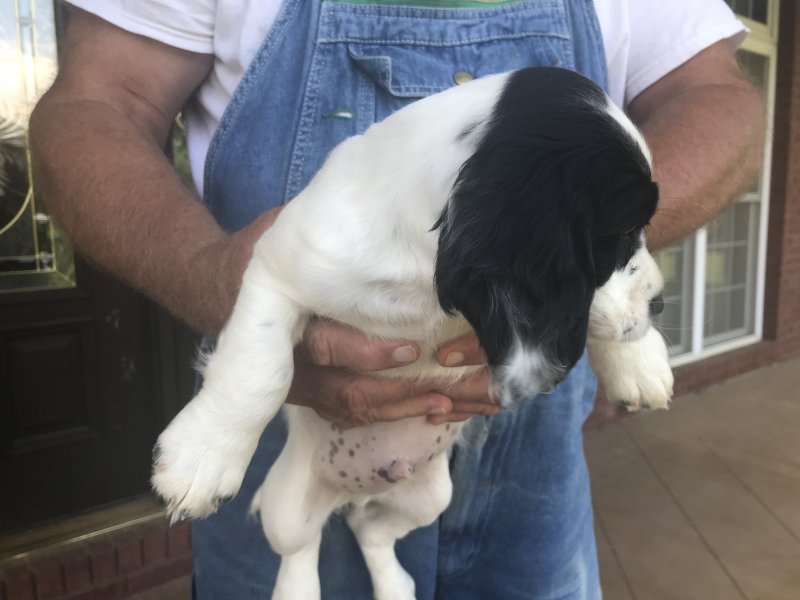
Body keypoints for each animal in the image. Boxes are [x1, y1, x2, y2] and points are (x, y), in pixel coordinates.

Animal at [153, 68, 672, 596]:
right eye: (620, 234)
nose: (660, 302)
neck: (423, 274)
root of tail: (353, 487)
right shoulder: (278, 267)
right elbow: (258, 370)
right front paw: (203, 457)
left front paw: (641, 362)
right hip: (288, 508)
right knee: (301, 544)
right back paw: (297, 589)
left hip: (429, 496)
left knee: (370, 530)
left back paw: (395, 585)